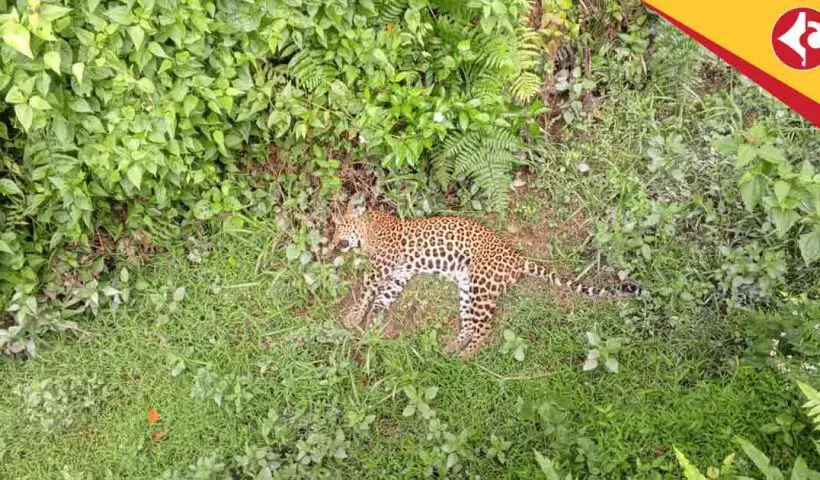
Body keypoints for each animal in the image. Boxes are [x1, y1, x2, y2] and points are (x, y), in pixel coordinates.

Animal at [331, 207, 645, 357]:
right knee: (470, 325)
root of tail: (516, 257)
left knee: (484, 329)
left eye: (338, 228)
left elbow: (367, 291)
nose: (332, 242)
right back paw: (451, 350)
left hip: (481, 284)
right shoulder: (398, 274)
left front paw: (353, 318)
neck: (370, 228)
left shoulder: (381, 267)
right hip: (467, 286)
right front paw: (370, 325)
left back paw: (464, 358)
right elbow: (382, 298)